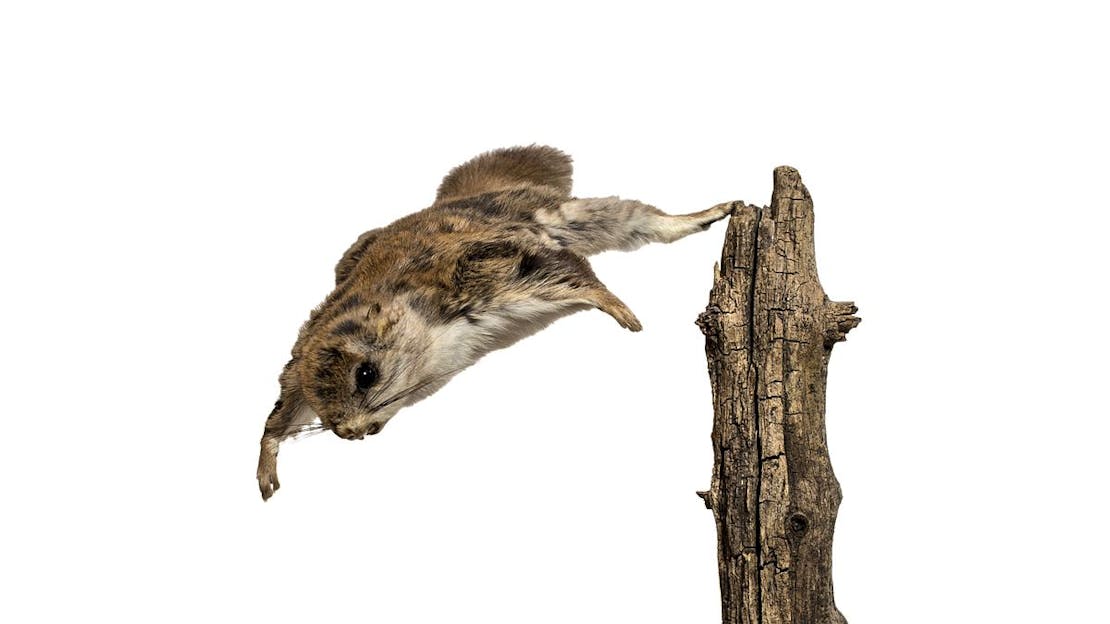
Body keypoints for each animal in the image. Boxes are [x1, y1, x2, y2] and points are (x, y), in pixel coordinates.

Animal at [256, 145, 732, 500]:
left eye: (366, 374)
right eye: (320, 410)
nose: (348, 433)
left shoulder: (493, 268)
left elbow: (577, 276)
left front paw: (619, 309)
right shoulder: (298, 365)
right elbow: (279, 414)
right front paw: (266, 465)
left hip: (566, 215)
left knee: (642, 219)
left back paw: (707, 213)